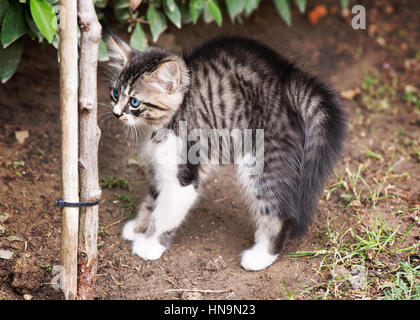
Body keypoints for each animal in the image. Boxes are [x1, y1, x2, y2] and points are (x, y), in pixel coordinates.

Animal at [106, 34, 346, 270]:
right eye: (115, 93)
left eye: (134, 102)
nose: (116, 113)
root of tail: (288, 78)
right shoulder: (162, 168)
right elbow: (152, 199)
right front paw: (138, 227)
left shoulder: (182, 176)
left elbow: (164, 214)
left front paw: (150, 244)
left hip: (262, 161)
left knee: (280, 213)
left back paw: (261, 256)